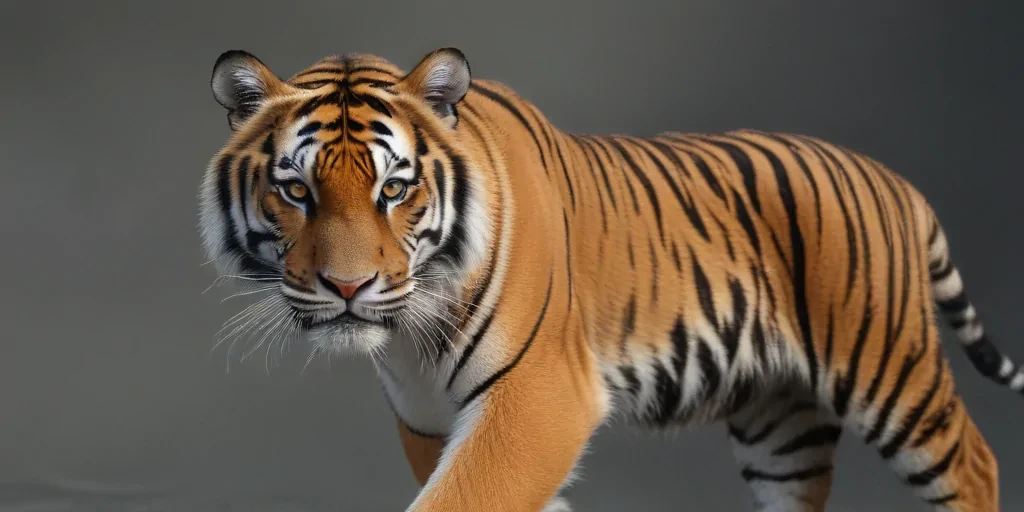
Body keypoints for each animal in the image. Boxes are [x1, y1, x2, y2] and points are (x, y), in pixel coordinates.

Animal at [196, 46, 1016, 512]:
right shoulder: (432, 421)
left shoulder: (537, 399)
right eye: (296, 190)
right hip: (780, 418)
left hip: (888, 370)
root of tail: (894, 180)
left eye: (393, 190)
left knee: (974, 464)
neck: (412, 332)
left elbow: (461, 500)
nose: (347, 288)